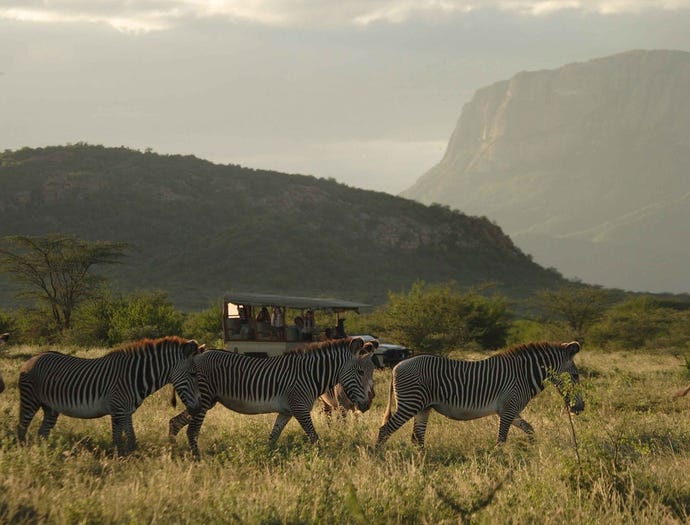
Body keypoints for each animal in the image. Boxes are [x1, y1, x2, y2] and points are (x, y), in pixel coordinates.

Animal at [17, 336, 203, 454]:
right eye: (193, 374)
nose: (198, 408)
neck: (133, 376)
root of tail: (32, 358)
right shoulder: (118, 410)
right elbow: (118, 439)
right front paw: (119, 460)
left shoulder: (126, 412)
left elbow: (131, 439)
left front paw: (131, 459)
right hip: (30, 400)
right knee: (21, 428)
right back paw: (23, 455)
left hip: (50, 408)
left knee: (42, 433)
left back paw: (44, 454)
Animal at [169, 336, 376, 454]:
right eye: (360, 372)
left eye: (372, 372)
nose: (367, 405)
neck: (310, 375)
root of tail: (197, 355)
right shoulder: (300, 408)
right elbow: (314, 438)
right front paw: (323, 462)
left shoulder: (286, 412)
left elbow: (272, 437)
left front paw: (266, 458)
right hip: (203, 400)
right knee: (191, 431)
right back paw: (196, 459)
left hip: (203, 401)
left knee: (175, 422)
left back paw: (173, 453)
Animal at [374, 340, 584, 446]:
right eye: (575, 376)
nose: (580, 408)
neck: (523, 376)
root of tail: (398, 365)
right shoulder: (508, 409)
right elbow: (501, 440)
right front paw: (500, 465)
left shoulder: (510, 410)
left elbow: (530, 429)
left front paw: (532, 450)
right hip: (410, 403)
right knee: (385, 430)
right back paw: (380, 458)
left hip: (423, 407)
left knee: (417, 437)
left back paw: (421, 465)